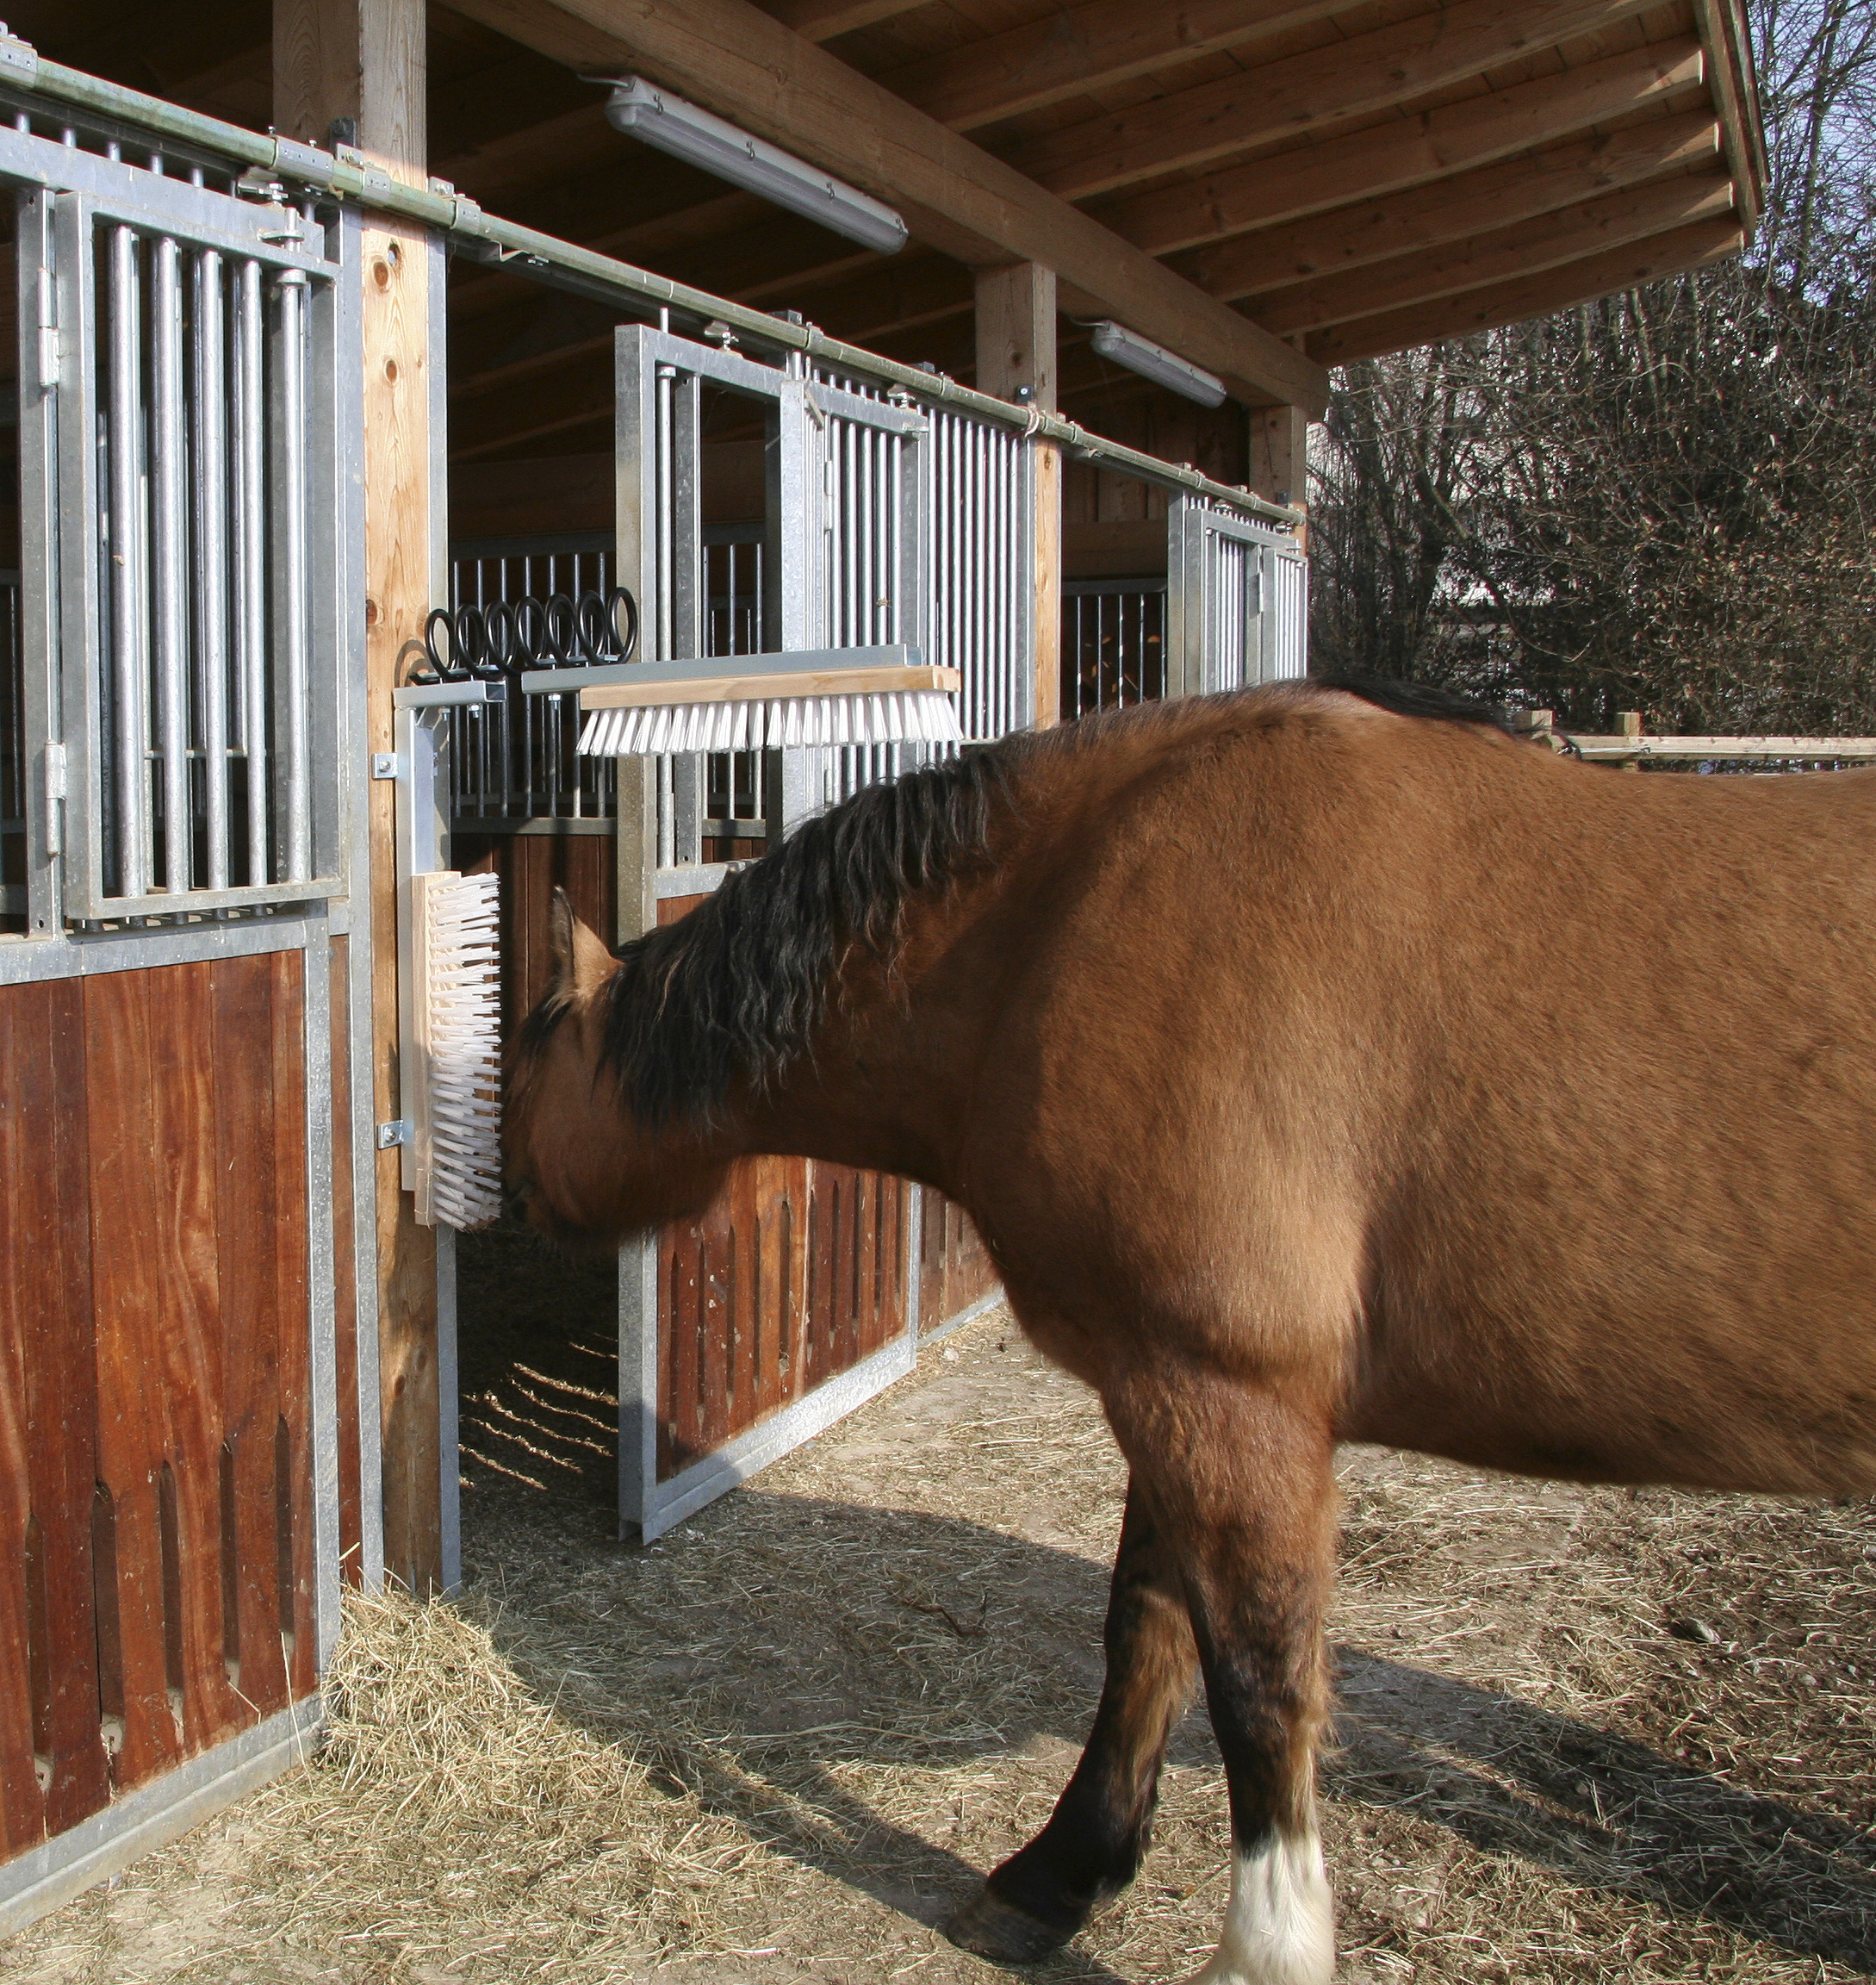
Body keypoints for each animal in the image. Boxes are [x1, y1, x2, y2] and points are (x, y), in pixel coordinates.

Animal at [504, 675, 1873, 1976]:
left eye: (524, 1067)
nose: (510, 1202)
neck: (1065, 917)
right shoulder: (1159, 1384)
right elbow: (1146, 1630)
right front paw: (1061, 1878)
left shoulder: (1229, 1398)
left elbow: (1260, 1688)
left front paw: (1265, 1945)